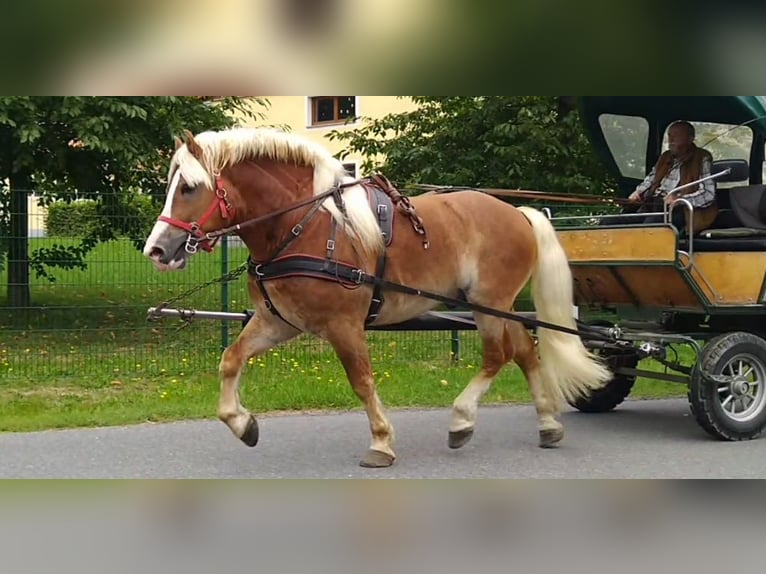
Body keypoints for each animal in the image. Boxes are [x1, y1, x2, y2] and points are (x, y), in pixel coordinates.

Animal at [142, 127, 611, 468]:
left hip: (489, 302)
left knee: (498, 355)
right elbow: (231, 359)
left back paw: (462, 419)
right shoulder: (279, 322)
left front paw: (382, 442)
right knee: (526, 353)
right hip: (501, 305)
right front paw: (241, 423)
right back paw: (547, 423)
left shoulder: (344, 326)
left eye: (188, 187)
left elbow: (362, 381)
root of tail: (517, 212)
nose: (157, 250)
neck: (302, 224)